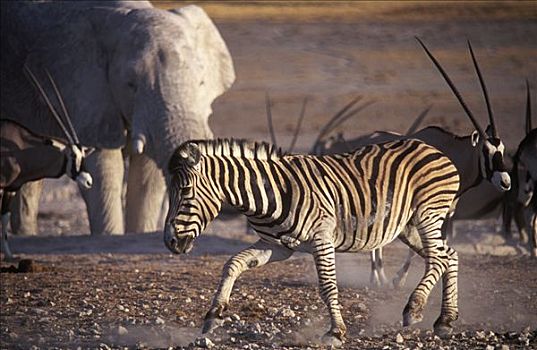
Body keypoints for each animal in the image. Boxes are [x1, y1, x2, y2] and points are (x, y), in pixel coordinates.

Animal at [162, 138, 456, 346]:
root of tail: (431, 147)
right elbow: (232, 264)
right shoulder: (277, 246)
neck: (269, 193)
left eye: (185, 192)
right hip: (407, 226)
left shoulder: (321, 238)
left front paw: (336, 332)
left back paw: (414, 309)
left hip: (427, 214)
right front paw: (214, 315)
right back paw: (445, 321)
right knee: (449, 256)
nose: (170, 242)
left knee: (438, 259)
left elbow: (327, 287)